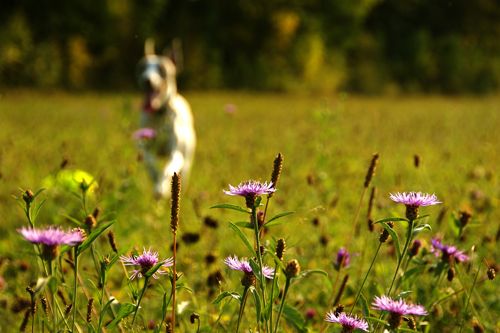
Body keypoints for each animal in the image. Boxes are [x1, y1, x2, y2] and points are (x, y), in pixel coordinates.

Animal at [136, 39, 196, 197]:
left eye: (162, 69)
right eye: (142, 67)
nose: (147, 80)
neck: (159, 114)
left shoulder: (175, 153)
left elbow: (169, 167)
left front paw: (161, 188)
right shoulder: (143, 146)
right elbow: (149, 161)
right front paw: (157, 181)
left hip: (188, 152)